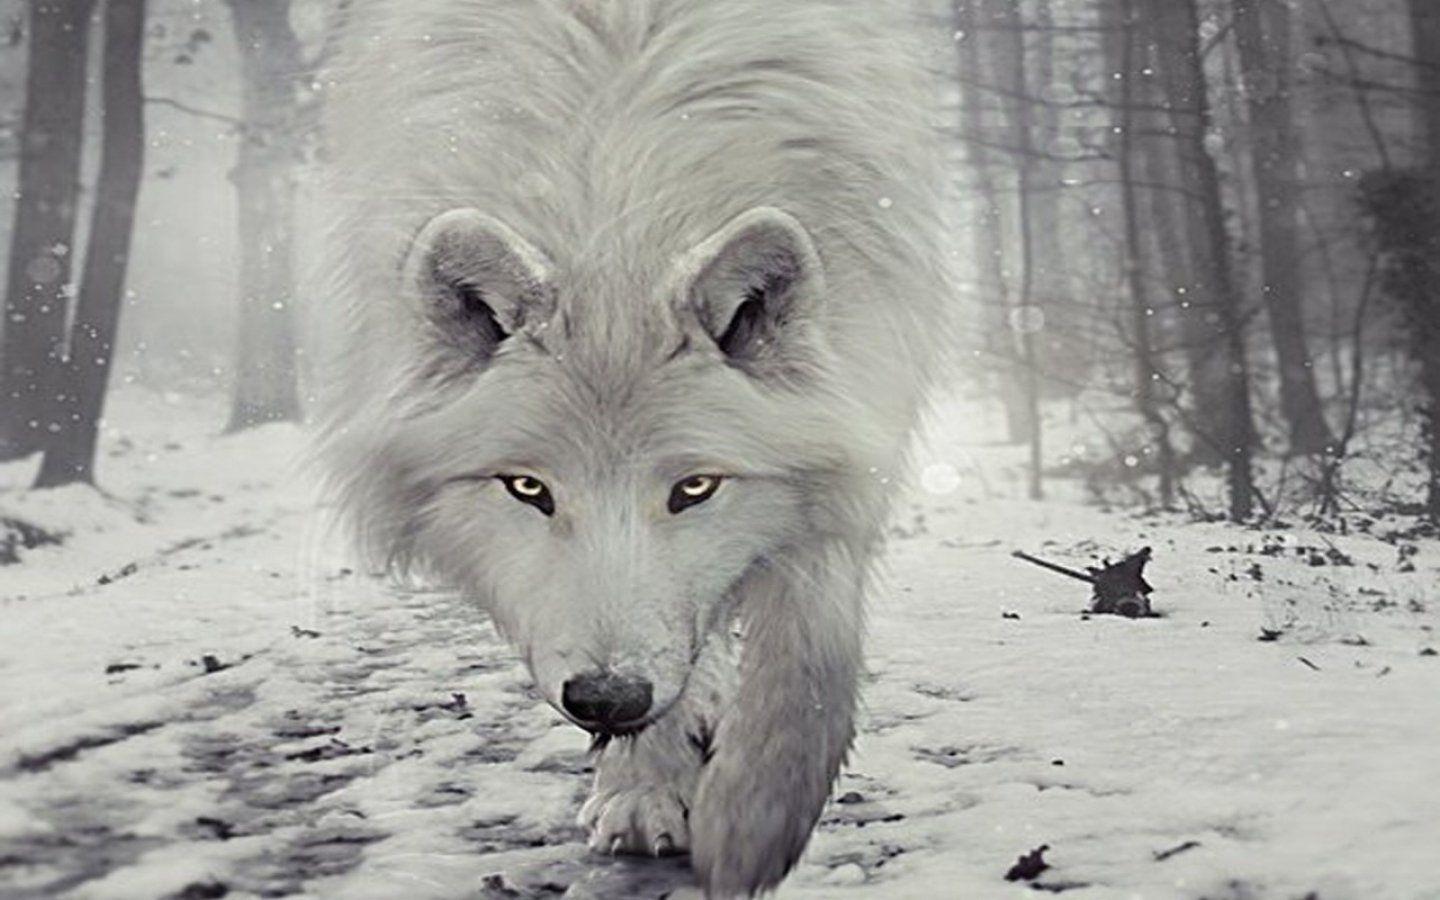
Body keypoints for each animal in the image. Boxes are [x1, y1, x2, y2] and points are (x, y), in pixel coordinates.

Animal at [316, 0, 952, 894]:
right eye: (527, 489)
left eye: (694, 489)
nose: (607, 699)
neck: (616, 206)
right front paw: (647, 789)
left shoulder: (863, 398)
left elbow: (811, 645)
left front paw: (753, 821)